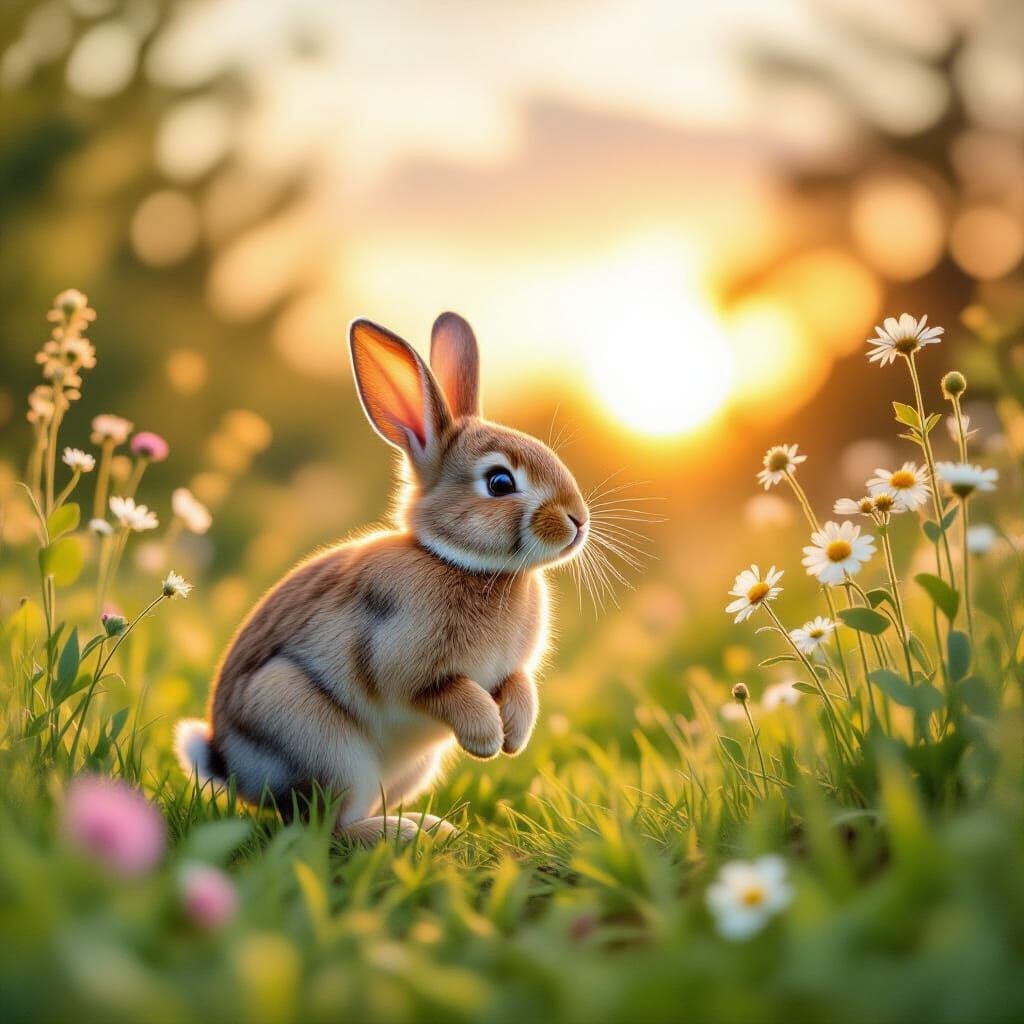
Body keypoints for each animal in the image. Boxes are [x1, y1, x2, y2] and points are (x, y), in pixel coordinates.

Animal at [174, 312, 589, 842]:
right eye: (499, 482)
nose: (578, 521)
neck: (461, 561)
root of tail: (230, 768)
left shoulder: (510, 671)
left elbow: (520, 686)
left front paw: (513, 736)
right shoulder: (408, 661)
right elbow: (444, 691)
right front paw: (486, 738)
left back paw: (428, 828)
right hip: (320, 742)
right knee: (325, 827)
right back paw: (400, 835)